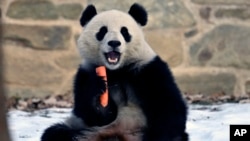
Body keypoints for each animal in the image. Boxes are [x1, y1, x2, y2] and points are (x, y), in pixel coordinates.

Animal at [41, 3, 188, 141]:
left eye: (125, 32)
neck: (116, 70)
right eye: (102, 31)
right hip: (84, 130)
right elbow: (90, 112)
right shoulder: (85, 73)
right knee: (56, 132)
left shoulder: (148, 69)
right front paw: (99, 94)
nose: (114, 43)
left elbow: (168, 106)